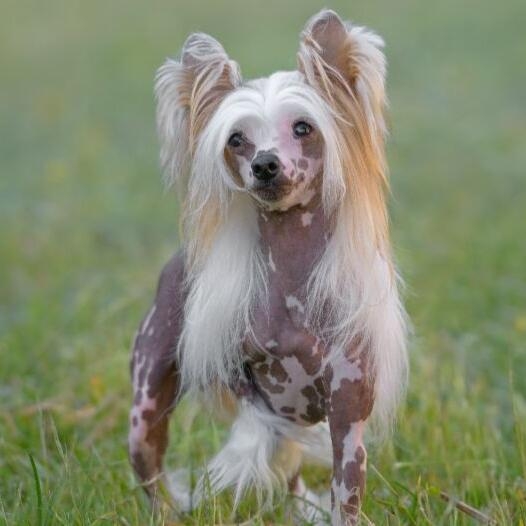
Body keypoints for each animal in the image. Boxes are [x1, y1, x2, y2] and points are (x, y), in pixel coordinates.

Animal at [130, 9, 410, 526]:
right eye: (236, 139)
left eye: (303, 128)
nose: (264, 164)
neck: (291, 281)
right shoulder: (254, 393)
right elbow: (260, 435)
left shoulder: (347, 413)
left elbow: (346, 491)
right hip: (145, 401)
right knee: (151, 472)